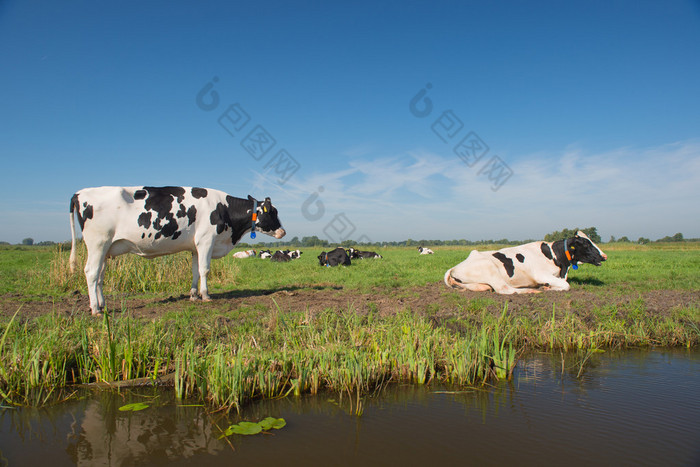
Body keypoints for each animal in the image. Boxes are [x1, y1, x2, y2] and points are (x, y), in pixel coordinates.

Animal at [66, 186, 284, 314]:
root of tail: (79, 193)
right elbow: (205, 270)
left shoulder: (196, 247)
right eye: (273, 212)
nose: (283, 231)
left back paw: (102, 303)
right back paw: (95, 308)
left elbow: (195, 271)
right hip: (97, 243)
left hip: (105, 248)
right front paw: (206, 296)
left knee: (100, 276)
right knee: (91, 272)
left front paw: (194, 295)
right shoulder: (206, 241)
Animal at [446, 232, 604, 294]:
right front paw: (548, 288)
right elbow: (566, 285)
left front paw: (547, 286)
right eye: (586, 244)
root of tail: (454, 267)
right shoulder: (541, 274)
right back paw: (530, 290)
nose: (604, 256)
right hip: (490, 269)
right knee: (506, 290)